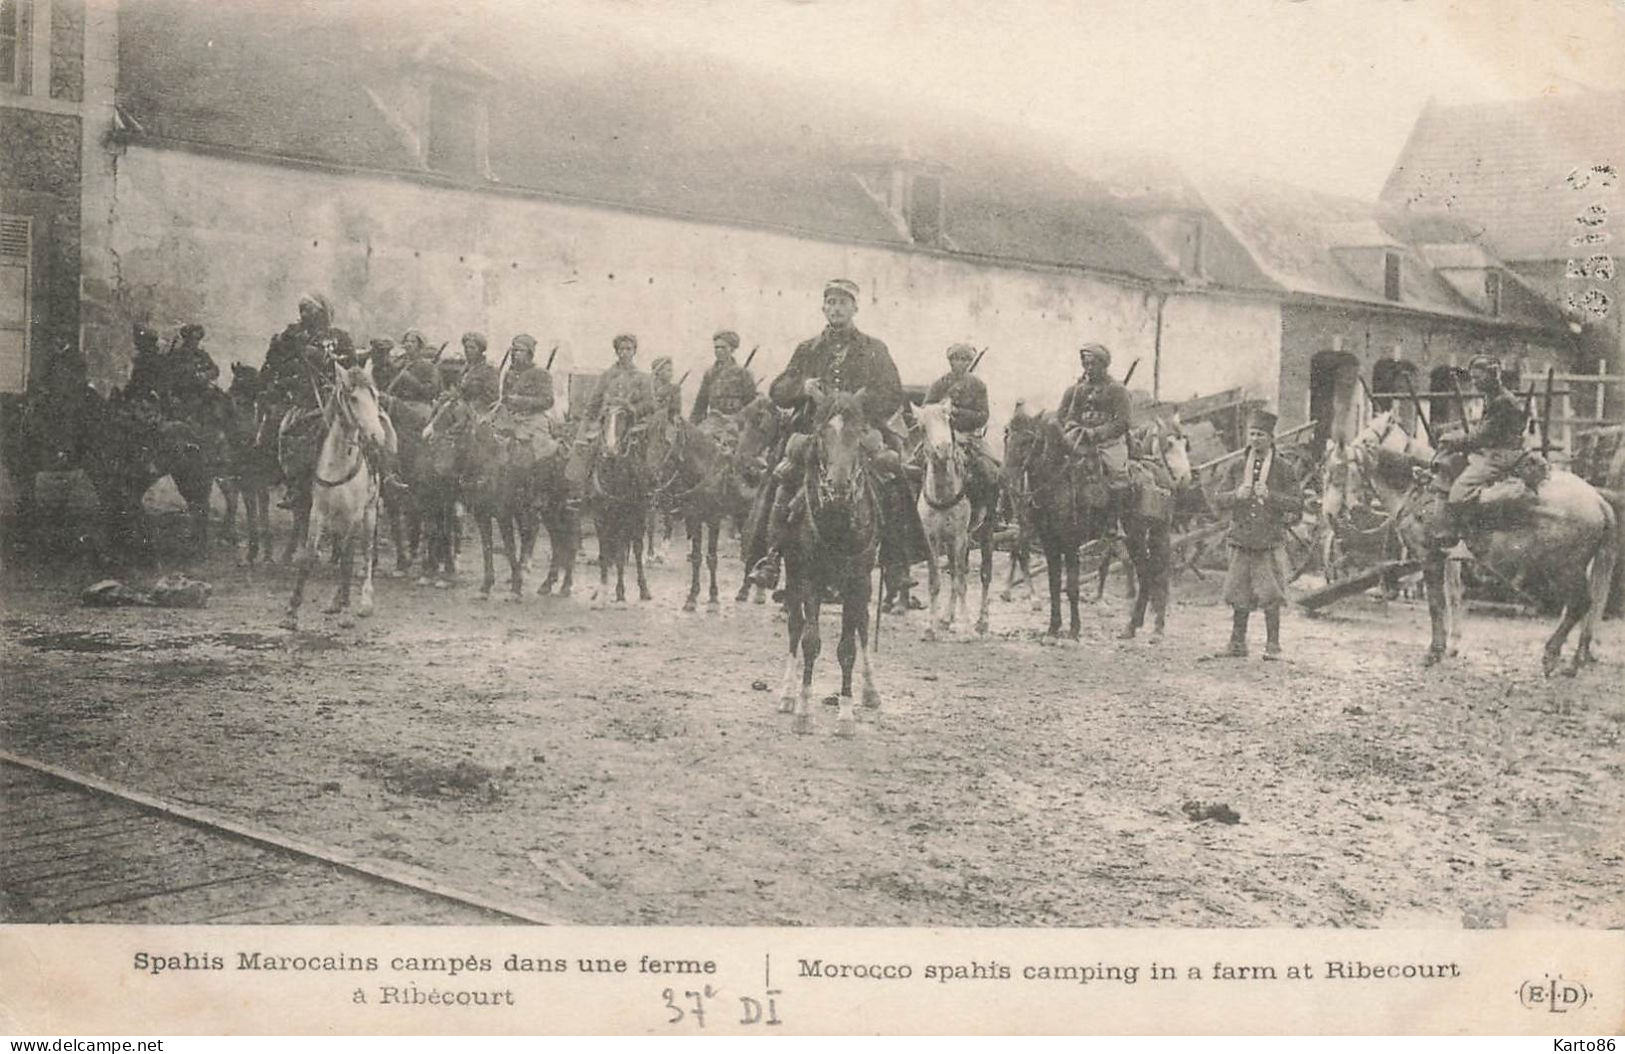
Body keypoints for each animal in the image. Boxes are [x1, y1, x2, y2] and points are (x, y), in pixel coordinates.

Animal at [279, 362, 393, 623]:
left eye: (375, 395)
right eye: (353, 398)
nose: (377, 437)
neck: (338, 463)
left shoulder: (354, 515)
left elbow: (349, 560)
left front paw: (349, 608)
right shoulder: (317, 512)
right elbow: (309, 556)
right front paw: (292, 609)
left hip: (369, 513)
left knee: (366, 552)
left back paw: (363, 601)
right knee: (342, 550)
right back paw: (339, 598)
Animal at [780, 389, 884, 737]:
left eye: (859, 434)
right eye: (821, 434)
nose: (839, 487)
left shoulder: (857, 583)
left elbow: (848, 647)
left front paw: (846, 715)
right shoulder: (809, 578)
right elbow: (810, 641)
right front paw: (803, 711)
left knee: (863, 627)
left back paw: (871, 691)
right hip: (793, 575)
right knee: (795, 627)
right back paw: (787, 694)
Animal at [910, 401, 994, 633]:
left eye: (949, 420)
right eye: (922, 426)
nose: (944, 448)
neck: (943, 494)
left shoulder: (958, 537)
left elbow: (961, 581)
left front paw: (966, 628)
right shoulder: (932, 539)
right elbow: (935, 581)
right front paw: (931, 627)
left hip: (985, 530)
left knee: (984, 573)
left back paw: (982, 621)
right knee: (956, 571)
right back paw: (947, 617)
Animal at [1345, 412, 1612, 675]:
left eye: (1349, 464)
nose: (1349, 509)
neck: (1419, 488)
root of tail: (1597, 500)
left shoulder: (1430, 557)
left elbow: (1437, 604)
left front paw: (1435, 652)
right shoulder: (1448, 558)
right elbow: (1452, 597)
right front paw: (1449, 647)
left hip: (1564, 568)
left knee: (1580, 604)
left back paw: (1552, 656)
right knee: (1588, 607)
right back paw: (1575, 659)